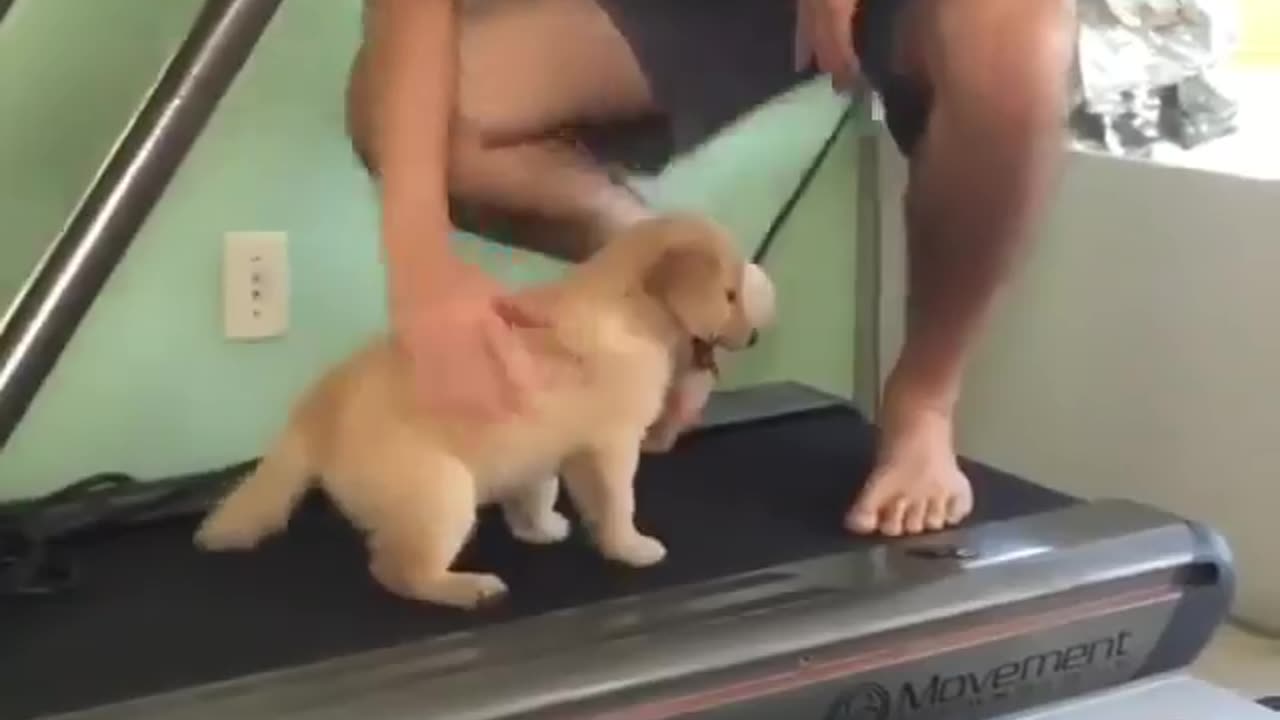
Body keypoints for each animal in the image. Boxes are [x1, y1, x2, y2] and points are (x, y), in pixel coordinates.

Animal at [189, 211, 768, 604]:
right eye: (730, 294)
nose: (758, 337)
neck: (629, 311)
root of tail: (316, 405)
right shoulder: (611, 446)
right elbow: (616, 504)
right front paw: (630, 546)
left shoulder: (537, 447)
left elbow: (535, 493)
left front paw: (539, 528)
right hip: (442, 493)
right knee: (397, 570)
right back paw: (467, 587)